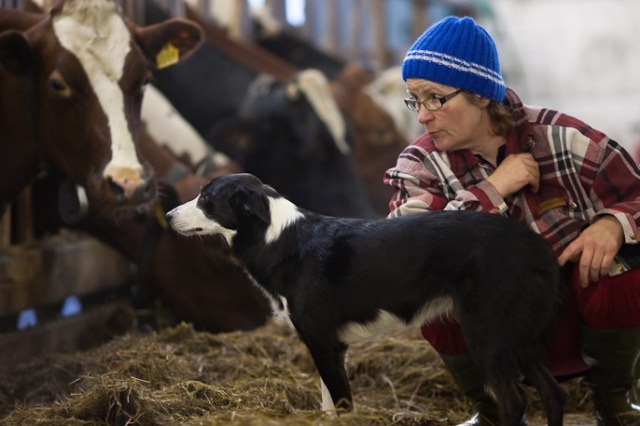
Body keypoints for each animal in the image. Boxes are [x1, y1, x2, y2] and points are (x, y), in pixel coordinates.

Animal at [169, 173, 564, 426]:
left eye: (206, 200)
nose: (168, 214)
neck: (277, 237)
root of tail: (535, 246)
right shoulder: (330, 347)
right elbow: (329, 405)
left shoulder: (323, 342)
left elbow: (343, 404)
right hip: (519, 338)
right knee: (553, 392)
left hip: (486, 334)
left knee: (514, 402)